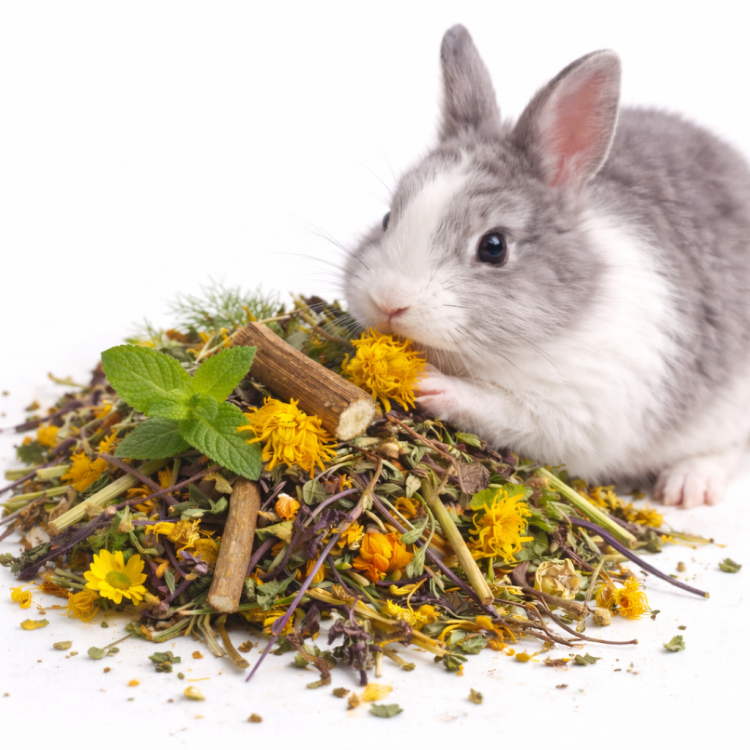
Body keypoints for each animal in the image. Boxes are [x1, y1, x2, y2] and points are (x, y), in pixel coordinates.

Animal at [342, 24, 750, 508]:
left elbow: (504, 409)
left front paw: (429, 384)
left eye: (494, 247)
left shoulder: (578, 410)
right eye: (388, 218)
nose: (389, 302)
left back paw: (688, 485)